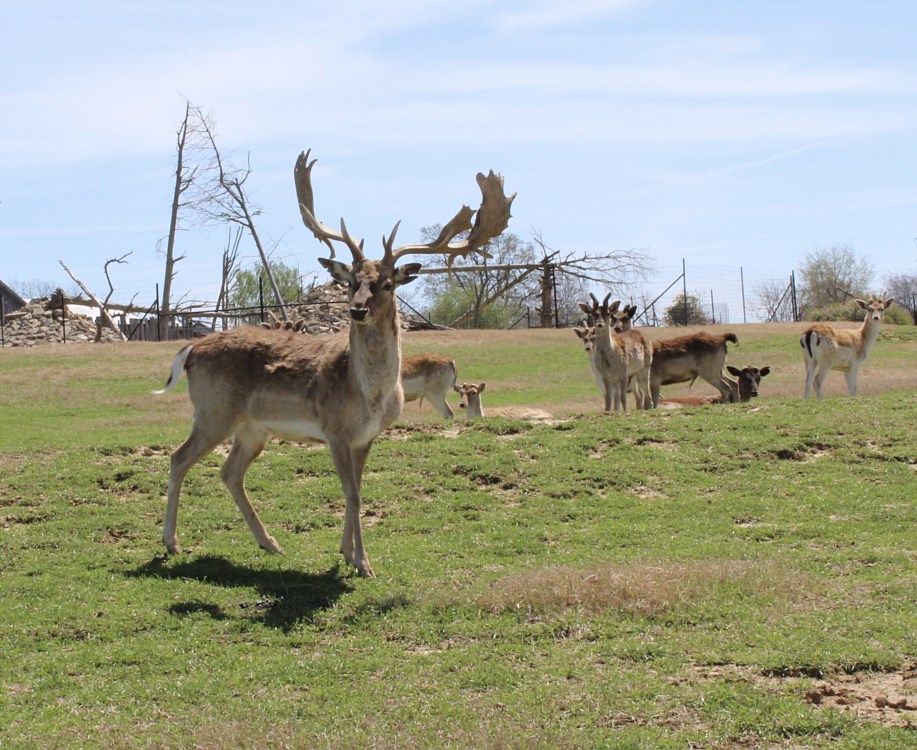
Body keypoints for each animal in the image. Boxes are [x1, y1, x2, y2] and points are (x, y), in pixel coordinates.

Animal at [156, 150, 516, 580]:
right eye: (351, 281)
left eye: (387, 283)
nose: (357, 309)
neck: (370, 394)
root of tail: (191, 349)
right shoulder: (335, 431)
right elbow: (352, 493)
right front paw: (363, 563)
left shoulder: (367, 436)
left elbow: (357, 490)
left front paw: (346, 553)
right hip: (213, 412)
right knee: (179, 458)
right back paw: (172, 542)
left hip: (252, 427)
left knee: (230, 471)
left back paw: (269, 543)